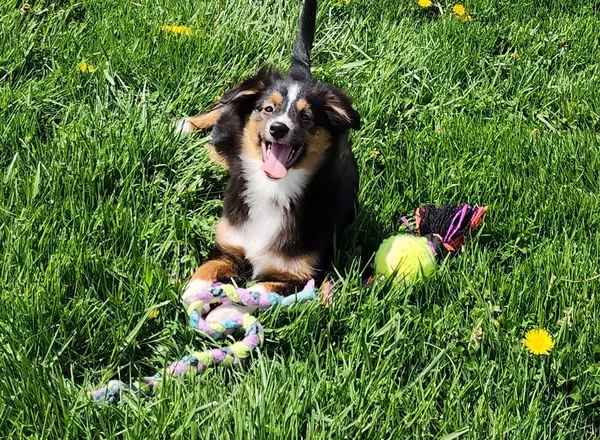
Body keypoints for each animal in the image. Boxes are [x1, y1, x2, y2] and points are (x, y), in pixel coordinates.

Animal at [176, 0, 358, 312]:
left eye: (306, 117)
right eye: (268, 109)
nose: (278, 128)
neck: (274, 190)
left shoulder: (299, 276)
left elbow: (260, 291)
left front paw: (229, 308)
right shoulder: (229, 246)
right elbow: (210, 265)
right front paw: (196, 289)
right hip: (228, 131)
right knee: (224, 110)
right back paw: (186, 125)